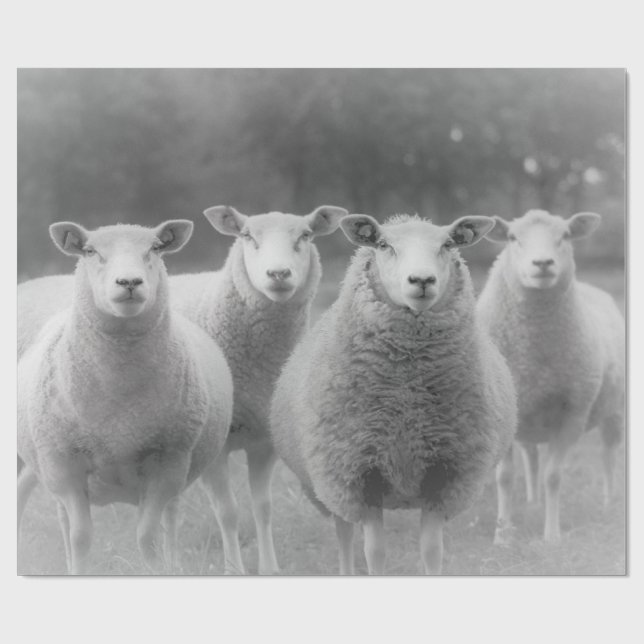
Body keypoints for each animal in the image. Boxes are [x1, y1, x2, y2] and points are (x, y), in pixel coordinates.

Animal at [17, 220, 234, 574]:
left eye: (156, 248)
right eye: (90, 251)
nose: (129, 282)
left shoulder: (167, 465)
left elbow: (148, 537)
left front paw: (156, 571)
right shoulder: (65, 467)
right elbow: (80, 537)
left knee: (171, 519)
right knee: (60, 521)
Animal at [169, 205, 347, 574]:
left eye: (306, 235)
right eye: (247, 236)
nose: (278, 273)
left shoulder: (265, 441)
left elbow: (263, 508)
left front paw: (269, 568)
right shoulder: (216, 448)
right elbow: (228, 512)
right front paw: (233, 570)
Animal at [269, 213, 517, 574]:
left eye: (448, 244)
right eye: (384, 245)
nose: (422, 280)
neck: (406, 398)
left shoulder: (444, 474)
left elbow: (431, 550)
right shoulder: (359, 475)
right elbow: (374, 551)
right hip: (330, 481)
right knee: (344, 533)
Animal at [476, 209, 625, 543]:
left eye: (565, 236)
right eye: (512, 238)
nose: (543, 263)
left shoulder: (573, 416)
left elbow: (554, 477)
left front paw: (552, 536)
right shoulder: (501, 417)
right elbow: (505, 477)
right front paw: (502, 536)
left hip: (615, 412)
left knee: (609, 455)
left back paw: (609, 503)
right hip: (525, 418)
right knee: (531, 455)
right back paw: (532, 504)